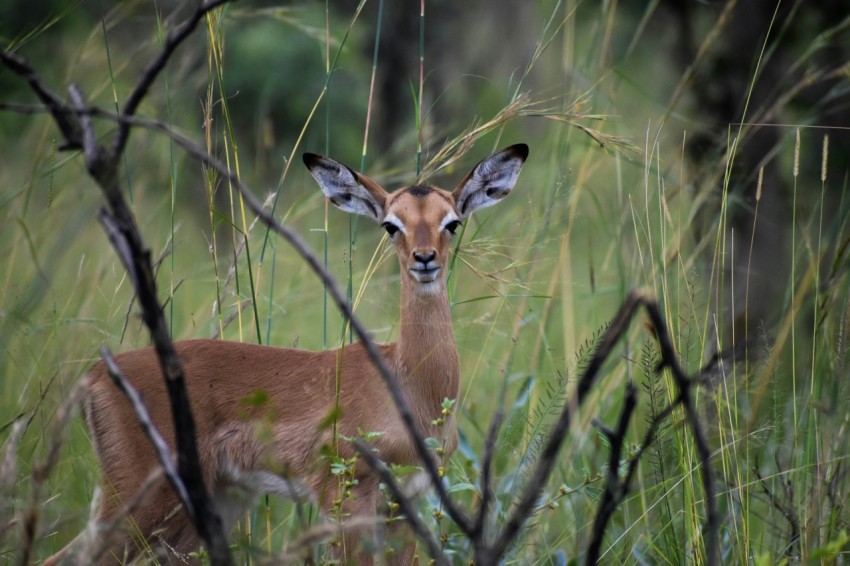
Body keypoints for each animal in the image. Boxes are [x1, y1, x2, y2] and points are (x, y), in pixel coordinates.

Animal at [46, 143, 528, 565]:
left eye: (453, 222)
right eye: (392, 224)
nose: (424, 258)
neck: (409, 384)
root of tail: (95, 375)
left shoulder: (404, 504)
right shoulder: (344, 498)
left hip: (209, 505)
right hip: (139, 501)